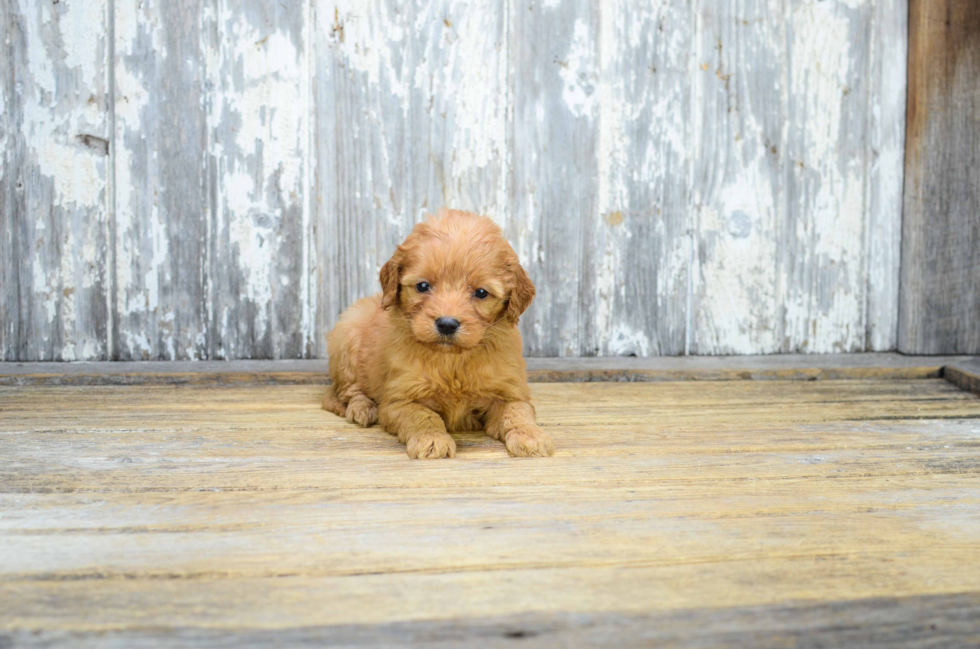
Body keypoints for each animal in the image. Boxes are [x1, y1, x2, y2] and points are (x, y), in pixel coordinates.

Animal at [320, 206, 552, 456]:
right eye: (422, 286)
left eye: (481, 292)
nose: (447, 324)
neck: (452, 359)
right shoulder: (398, 400)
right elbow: (423, 415)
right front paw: (432, 440)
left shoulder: (509, 391)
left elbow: (517, 412)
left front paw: (531, 436)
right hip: (348, 334)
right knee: (347, 390)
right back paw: (362, 408)